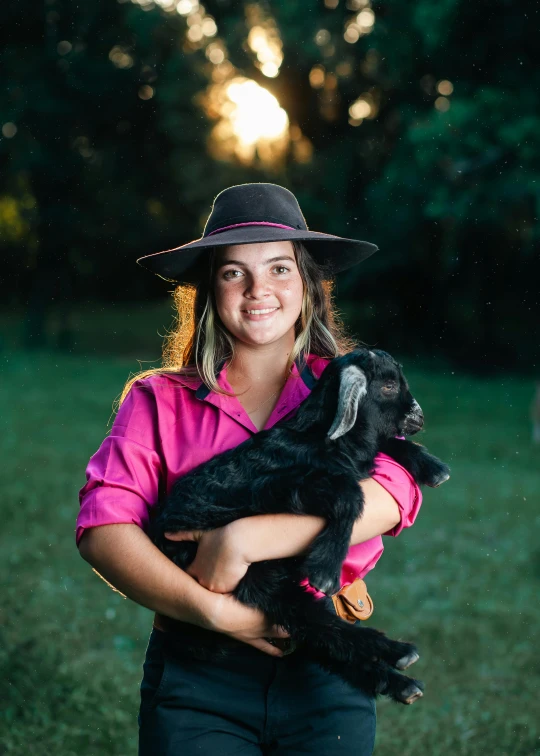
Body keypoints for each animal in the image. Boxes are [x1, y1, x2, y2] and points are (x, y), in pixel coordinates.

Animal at [150, 346, 450, 704]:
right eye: (389, 386)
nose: (419, 418)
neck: (324, 441)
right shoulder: (270, 486)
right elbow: (350, 491)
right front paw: (325, 569)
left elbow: (385, 443)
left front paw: (433, 467)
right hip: (261, 583)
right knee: (320, 625)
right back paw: (397, 652)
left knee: (320, 638)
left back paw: (400, 681)